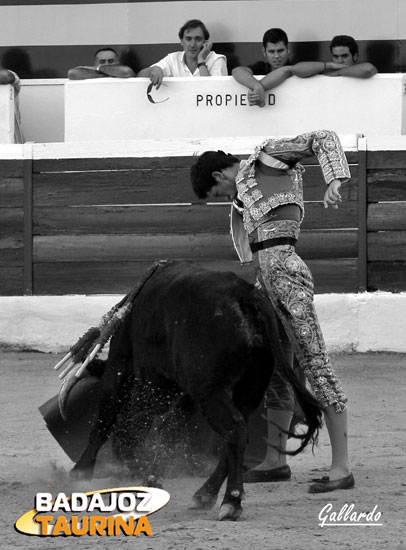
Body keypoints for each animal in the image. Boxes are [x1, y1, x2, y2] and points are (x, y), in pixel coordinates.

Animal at [61, 262, 320, 520]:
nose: (125, 460)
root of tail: (245, 295)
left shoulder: (124, 365)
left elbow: (110, 414)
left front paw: (81, 471)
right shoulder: (186, 393)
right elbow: (170, 428)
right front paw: (153, 476)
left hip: (212, 392)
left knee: (234, 430)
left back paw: (231, 501)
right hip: (248, 389)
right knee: (237, 433)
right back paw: (205, 494)